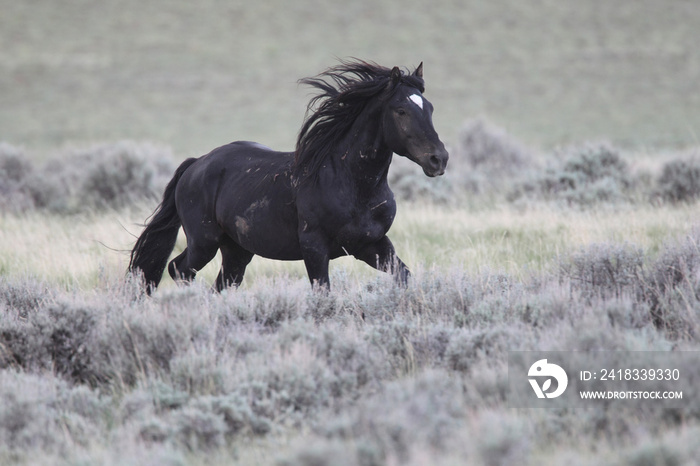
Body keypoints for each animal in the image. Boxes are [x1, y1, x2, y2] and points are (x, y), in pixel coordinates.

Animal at [129, 59, 448, 292]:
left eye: (430, 108)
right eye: (401, 110)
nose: (439, 158)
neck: (351, 184)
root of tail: (196, 164)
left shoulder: (372, 244)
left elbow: (403, 276)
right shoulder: (314, 248)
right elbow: (322, 292)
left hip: (237, 251)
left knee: (221, 284)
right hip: (203, 242)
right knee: (180, 270)